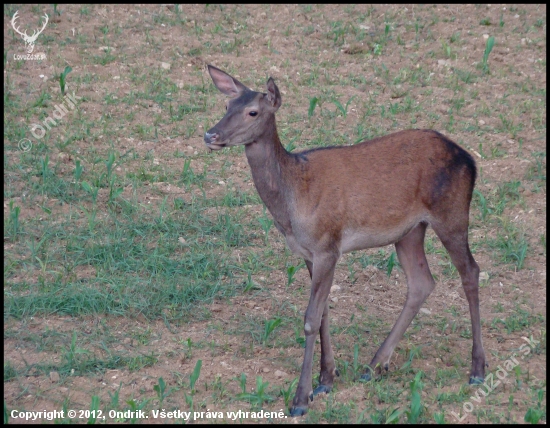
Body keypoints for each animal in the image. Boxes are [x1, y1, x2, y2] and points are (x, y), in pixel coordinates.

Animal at [205, 65, 490, 416]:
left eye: (252, 111)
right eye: (225, 106)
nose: (211, 135)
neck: (292, 202)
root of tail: (470, 160)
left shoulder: (328, 245)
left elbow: (311, 318)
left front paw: (300, 399)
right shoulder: (309, 252)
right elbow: (324, 312)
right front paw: (326, 379)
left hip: (452, 213)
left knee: (471, 272)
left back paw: (477, 370)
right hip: (409, 231)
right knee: (422, 282)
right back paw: (375, 365)